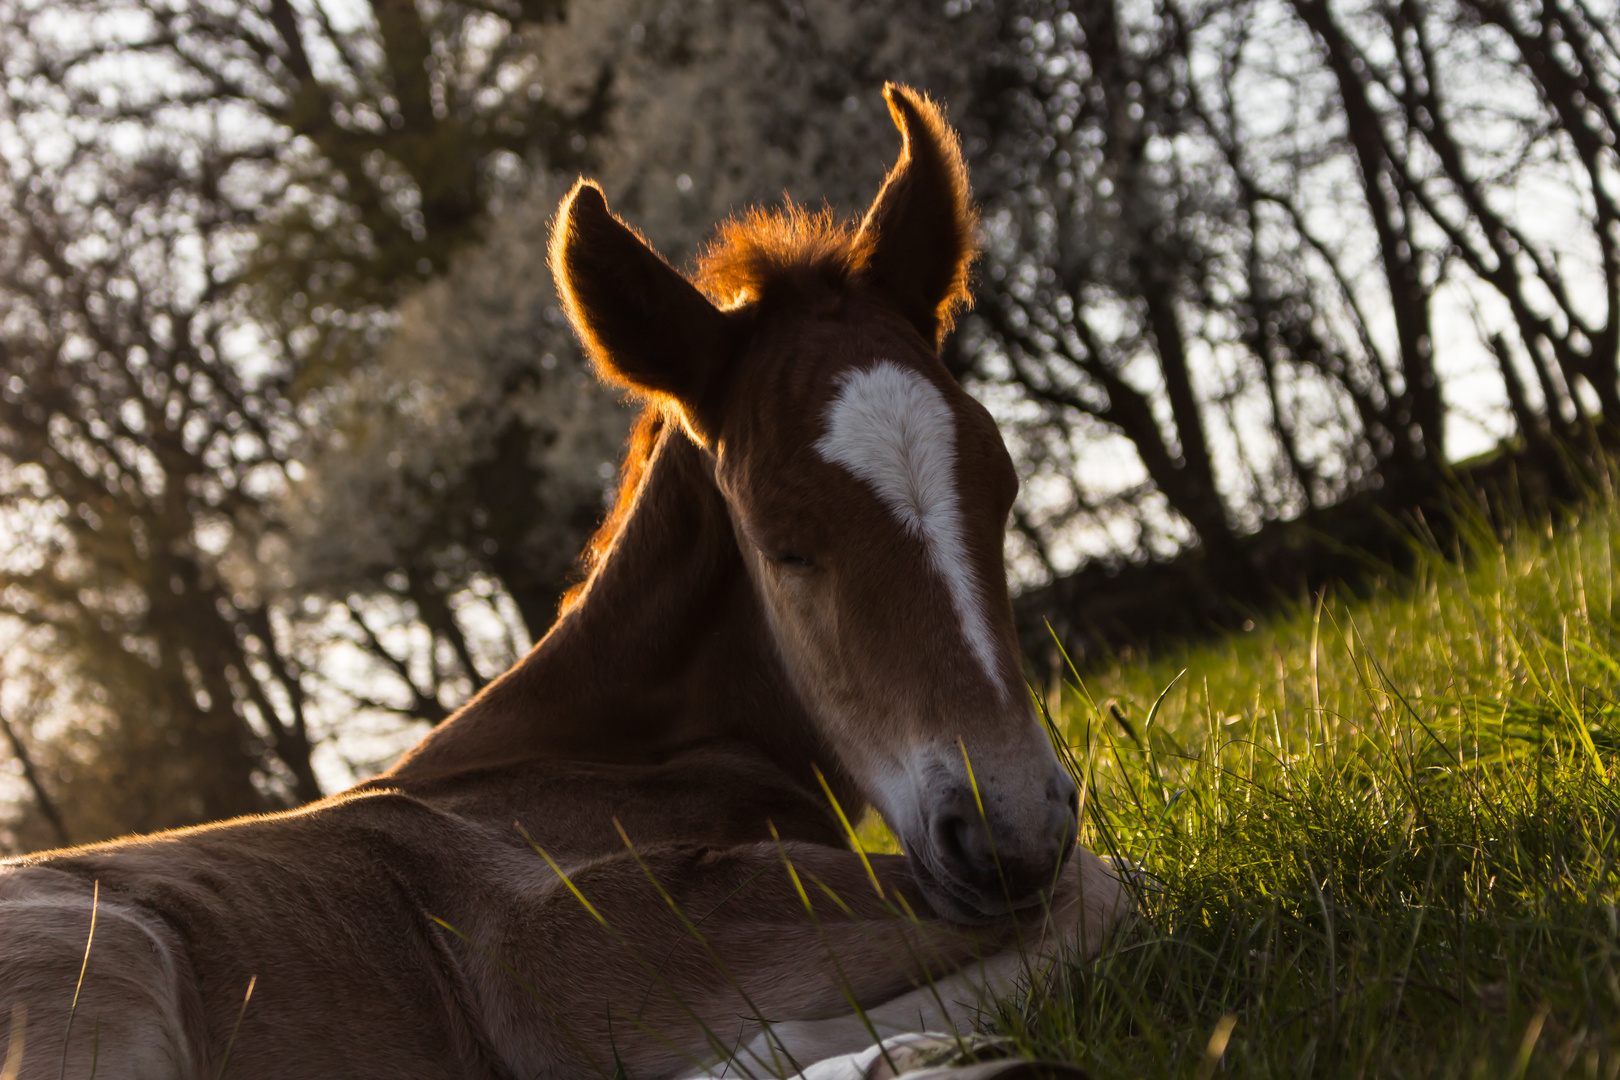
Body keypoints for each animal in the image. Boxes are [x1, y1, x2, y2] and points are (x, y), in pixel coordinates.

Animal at [0, 86, 1127, 1080]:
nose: (1012, 828)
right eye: (783, 541)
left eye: (1001, 490)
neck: (606, 761)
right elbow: (1109, 891)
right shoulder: (551, 943)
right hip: (104, 960)